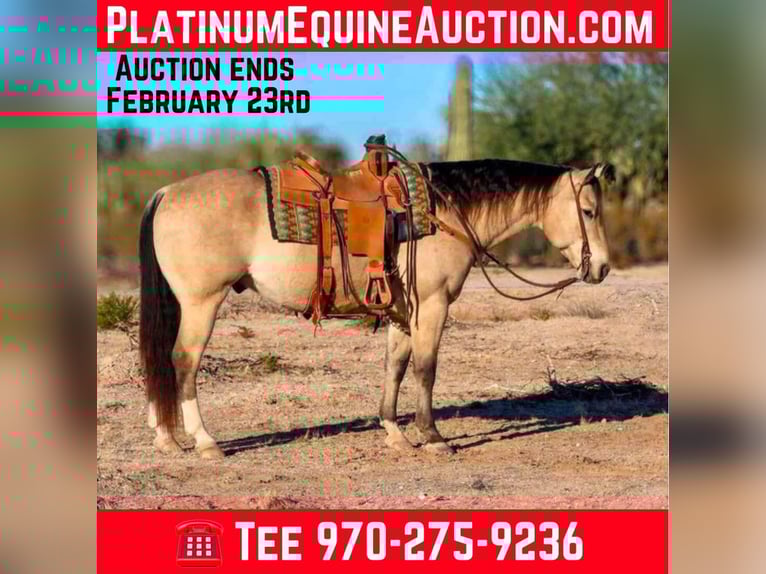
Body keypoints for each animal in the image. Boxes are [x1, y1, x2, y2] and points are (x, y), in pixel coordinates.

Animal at [138, 157, 614, 459]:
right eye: (588, 211)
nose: (603, 267)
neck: (442, 214)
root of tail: (165, 191)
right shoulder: (432, 306)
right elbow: (426, 369)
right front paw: (433, 437)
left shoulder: (402, 314)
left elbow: (395, 368)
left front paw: (394, 432)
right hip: (202, 303)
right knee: (183, 362)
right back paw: (204, 442)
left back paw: (165, 439)